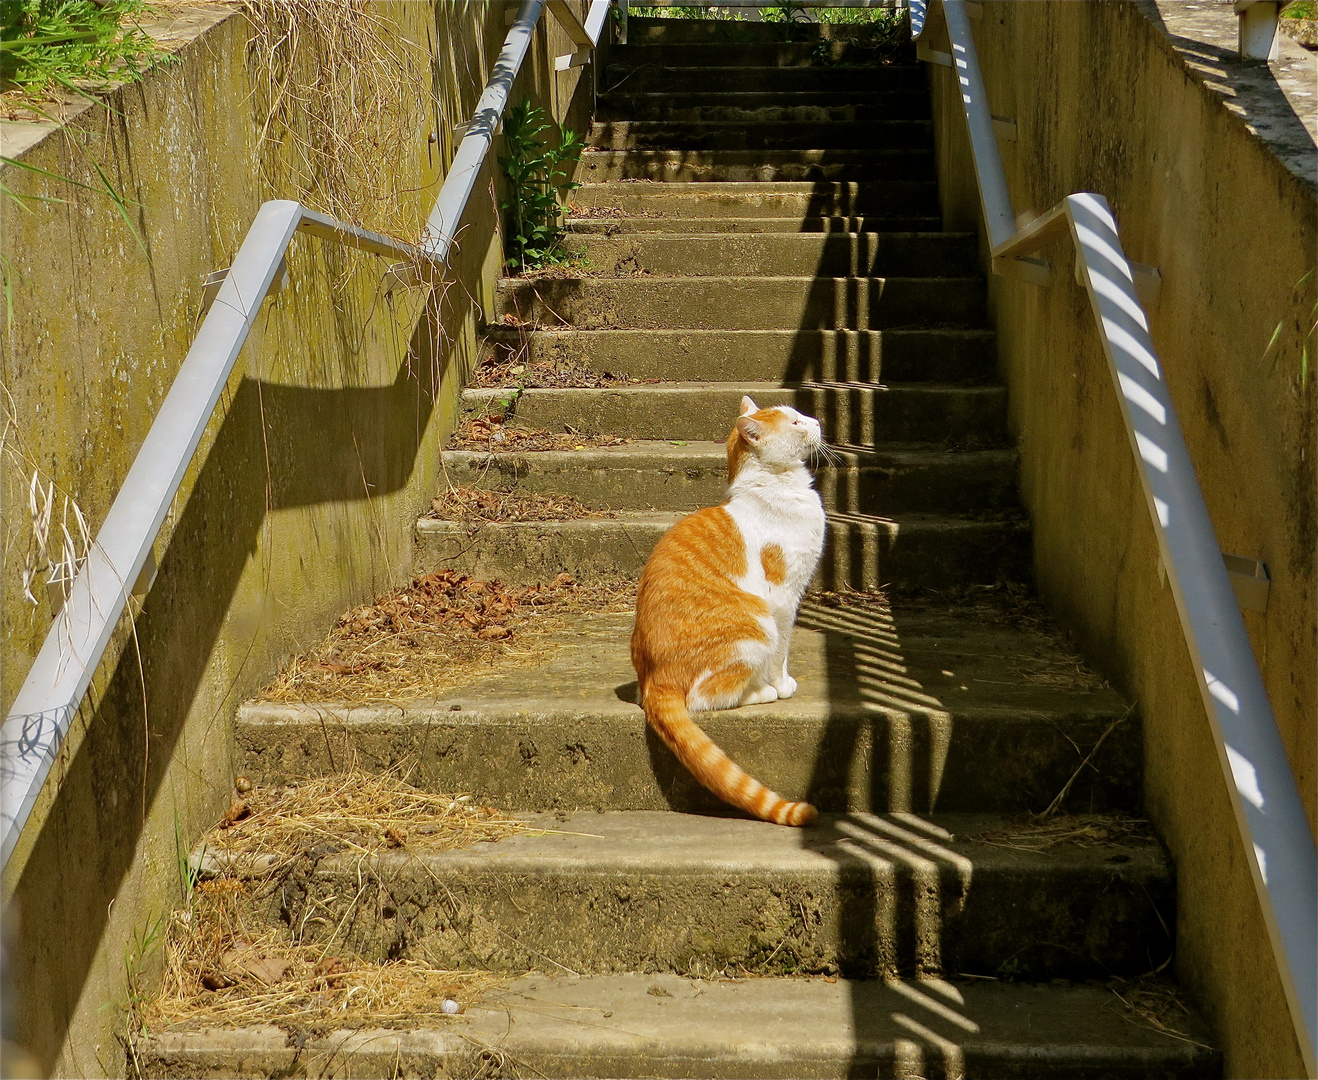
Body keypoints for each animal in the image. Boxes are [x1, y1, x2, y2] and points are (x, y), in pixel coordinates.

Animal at [627, 398, 822, 828]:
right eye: (796, 422)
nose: (817, 421)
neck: (778, 487)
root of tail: (654, 680)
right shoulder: (784, 600)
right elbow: (782, 654)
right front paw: (782, 684)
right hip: (756, 627)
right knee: (704, 698)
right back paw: (761, 691)